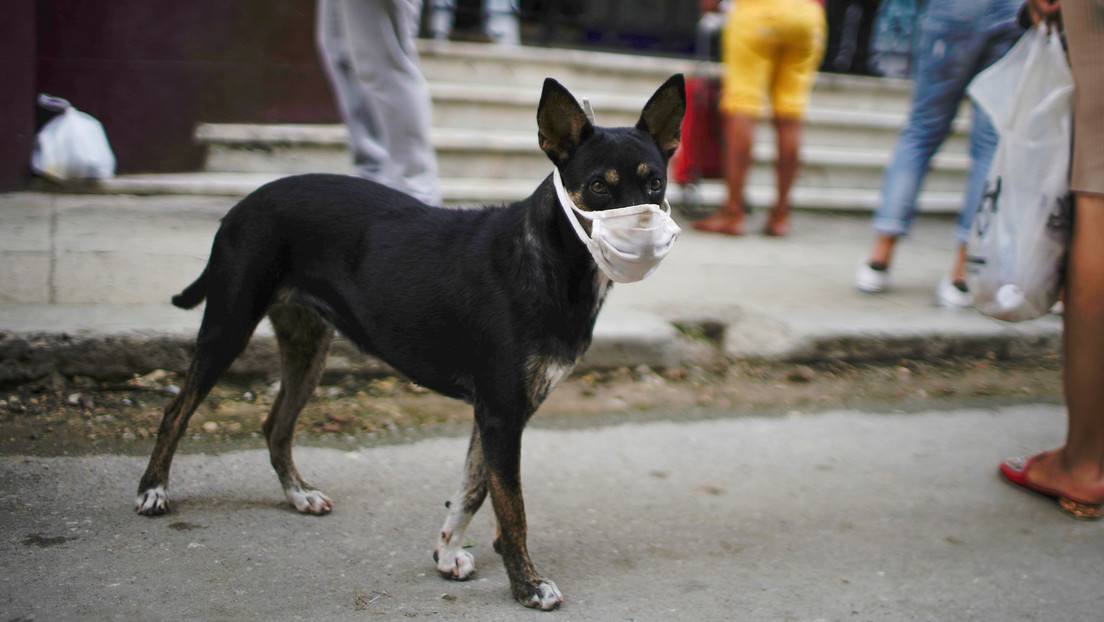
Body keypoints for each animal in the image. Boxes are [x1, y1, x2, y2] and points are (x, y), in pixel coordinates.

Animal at [133, 75, 684, 609]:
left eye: (655, 182)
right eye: (598, 186)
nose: (647, 226)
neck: (552, 258)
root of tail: (245, 202)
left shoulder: (501, 410)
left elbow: (473, 490)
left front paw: (448, 552)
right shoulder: (502, 413)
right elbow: (512, 506)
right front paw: (526, 585)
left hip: (308, 345)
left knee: (276, 425)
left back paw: (297, 494)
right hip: (228, 326)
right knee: (176, 411)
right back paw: (153, 490)